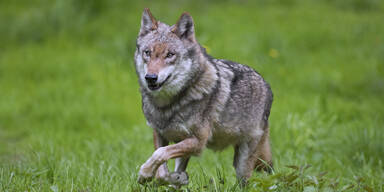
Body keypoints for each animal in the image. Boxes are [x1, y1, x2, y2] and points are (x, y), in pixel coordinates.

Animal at [135, 8, 272, 187]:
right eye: (147, 53)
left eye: (170, 54)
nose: (150, 77)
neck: (168, 105)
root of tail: (266, 84)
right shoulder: (160, 134)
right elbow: (161, 170)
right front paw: (167, 177)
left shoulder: (198, 142)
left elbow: (159, 154)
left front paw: (144, 173)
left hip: (242, 164)